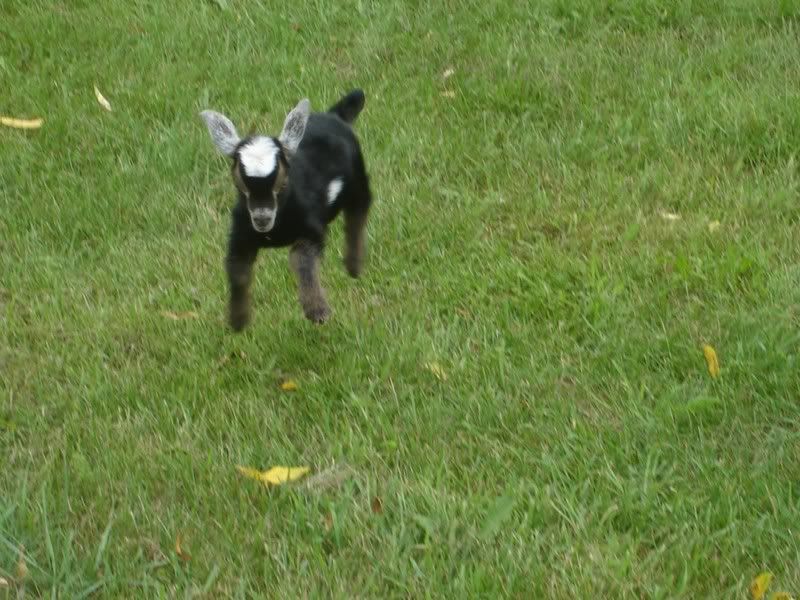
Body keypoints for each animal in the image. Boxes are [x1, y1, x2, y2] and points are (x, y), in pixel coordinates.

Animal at [200, 90, 372, 330]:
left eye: (280, 182)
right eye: (240, 183)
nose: (262, 217)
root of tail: (334, 115)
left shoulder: (313, 229)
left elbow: (301, 259)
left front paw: (317, 310)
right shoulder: (241, 234)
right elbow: (237, 269)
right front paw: (238, 319)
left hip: (358, 181)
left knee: (358, 211)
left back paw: (353, 265)